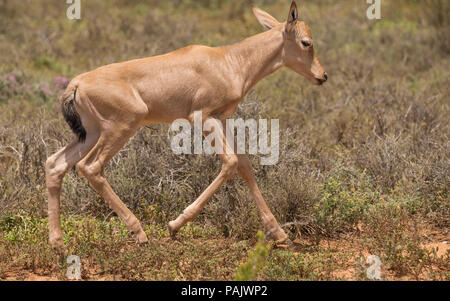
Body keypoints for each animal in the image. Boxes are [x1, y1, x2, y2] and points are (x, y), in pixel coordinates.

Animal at [45, 1, 326, 251]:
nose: (322, 76)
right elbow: (231, 163)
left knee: (55, 164)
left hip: (92, 133)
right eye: (306, 42)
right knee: (90, 167)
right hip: (121, 128)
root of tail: (76, 84)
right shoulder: (201, 117)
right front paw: (175, 224)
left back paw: (58, 243)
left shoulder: (223, 119)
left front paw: (281, 234)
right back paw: (139, 232)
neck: (229, 60)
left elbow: (245, 166)